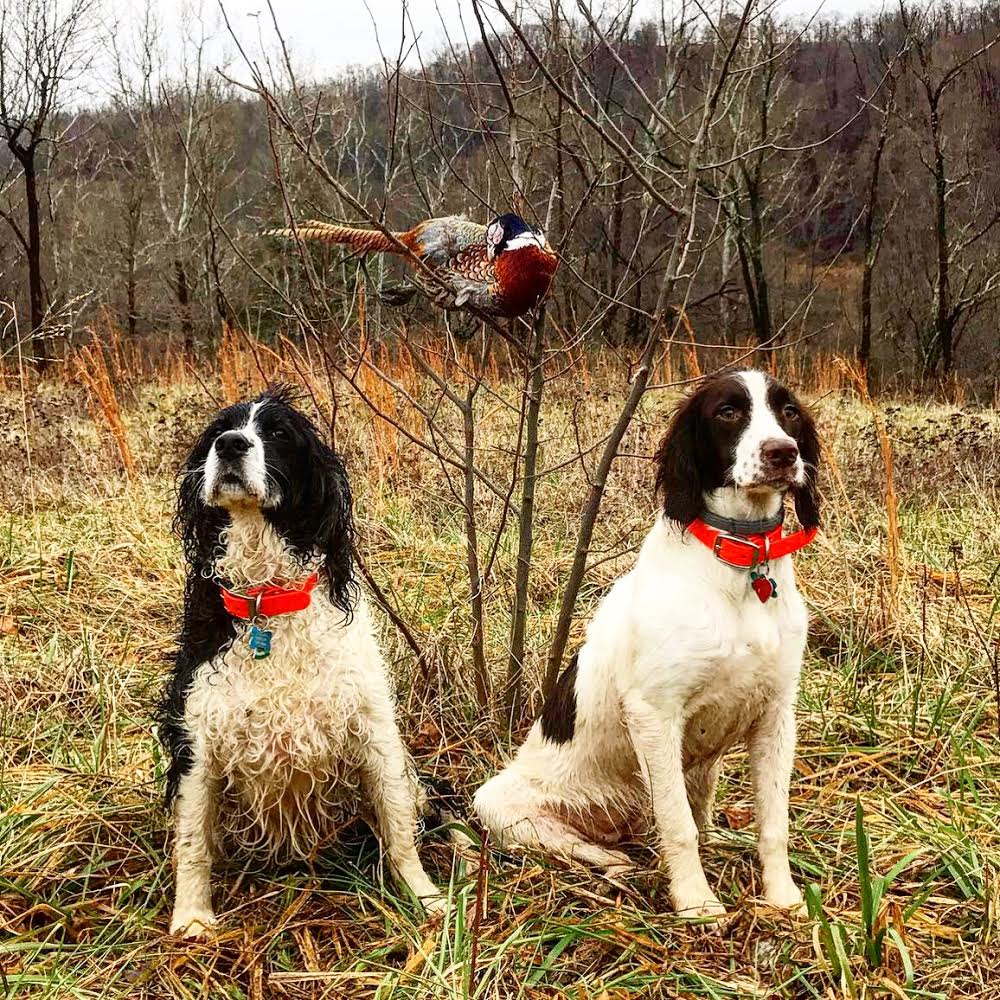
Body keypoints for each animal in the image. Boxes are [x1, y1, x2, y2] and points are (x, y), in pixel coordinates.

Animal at [160, 384, 442, 936]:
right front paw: (193, 918)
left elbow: (398, 826)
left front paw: (424, 899)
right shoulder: (197, 739)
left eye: (278, 434)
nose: (230, 445)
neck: (268, 601)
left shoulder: (372, 729)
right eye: (218, 429)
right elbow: (192, 842)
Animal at [474, 372, 820, 916]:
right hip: (495, 803)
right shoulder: (654, 714)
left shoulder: (775, 715)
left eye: (788, 412)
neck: (741, 566)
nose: (783, 453)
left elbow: (773, 824)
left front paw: (782, 897)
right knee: (589, 846)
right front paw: (696, 903)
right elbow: (679, 827)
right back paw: (617, 868)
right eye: (727, 412)